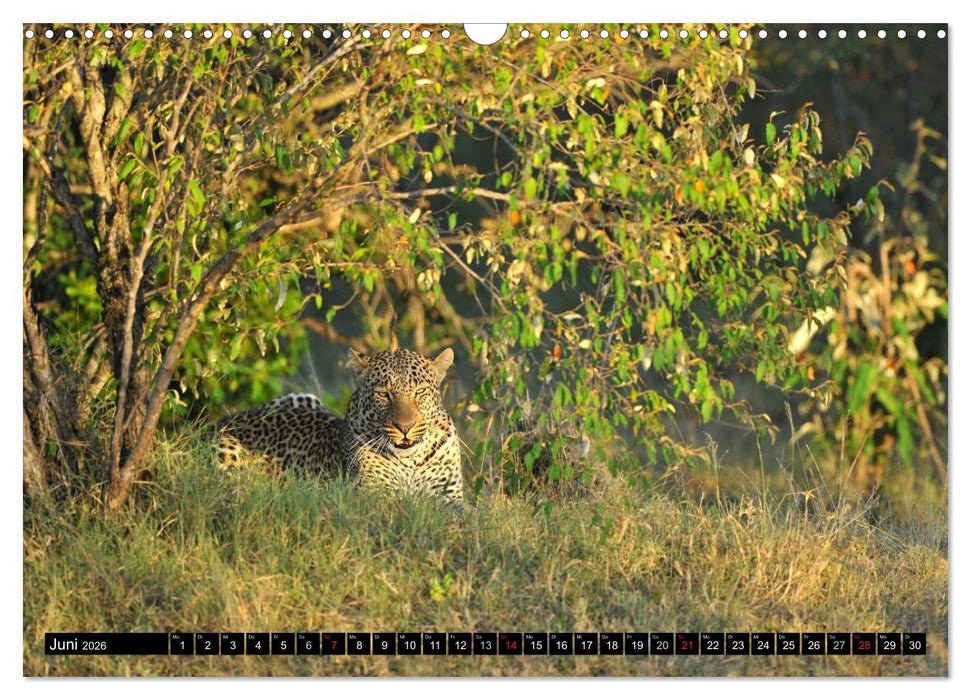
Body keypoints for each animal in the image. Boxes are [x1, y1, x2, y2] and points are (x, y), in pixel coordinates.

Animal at [216, 347, 464, 508]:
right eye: (384, 394)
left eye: (419, 392)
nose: (405, 427)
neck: (411, 460)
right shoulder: (375, 495)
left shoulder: (450, 496)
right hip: (225, 450)